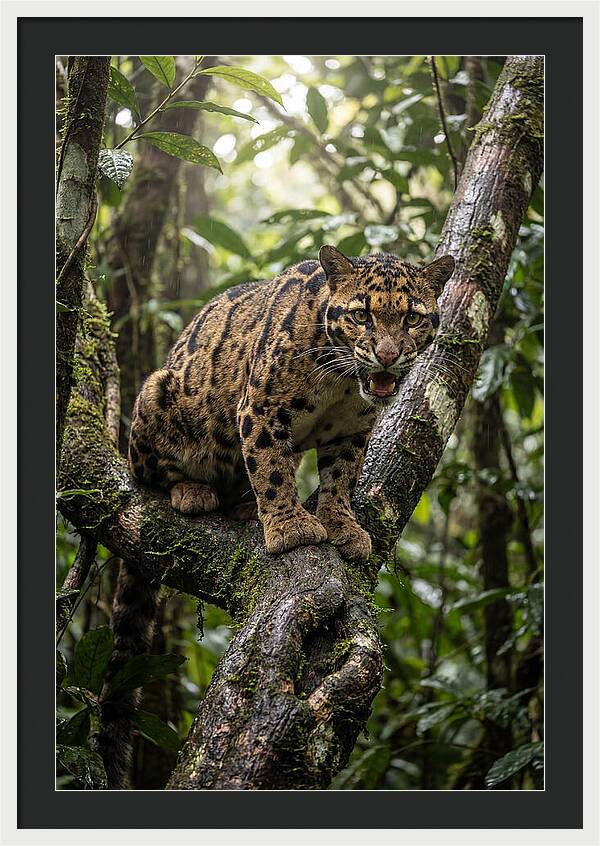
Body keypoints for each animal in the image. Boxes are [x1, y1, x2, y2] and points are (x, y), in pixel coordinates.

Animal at [128, 245, 455, 563]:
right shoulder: (261, 409)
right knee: (150, 474)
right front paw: (290, 526)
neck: (341, 381)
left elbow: (342, 477)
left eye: (412, 319)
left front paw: (342, 524)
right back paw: (193, 490)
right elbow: (271, 469)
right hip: (157, 391)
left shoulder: (352, 429)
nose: (387, 356)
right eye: (361, 316)